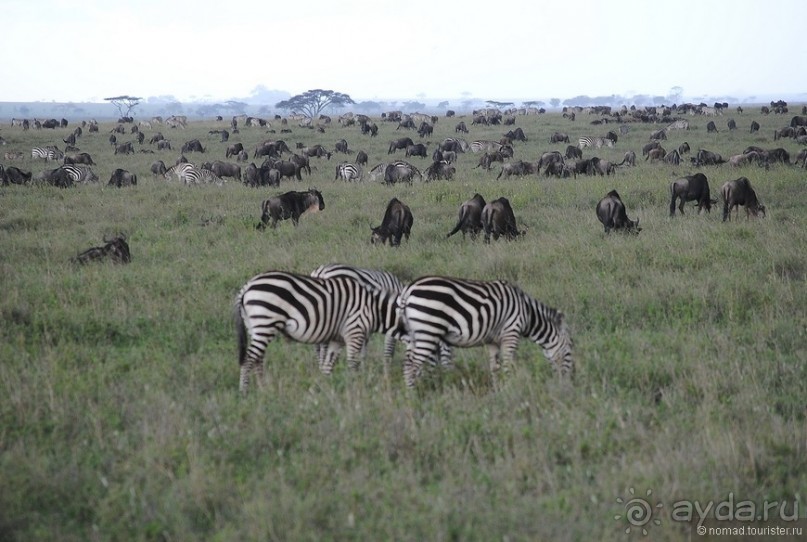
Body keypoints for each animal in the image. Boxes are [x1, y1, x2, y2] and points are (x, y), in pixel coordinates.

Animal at [234, 272, 400, 396]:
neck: (374, 309)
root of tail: (247, 286)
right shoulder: (355, 330)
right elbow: (353, 363)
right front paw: (356, 388)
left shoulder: (340, 338)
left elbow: (330, 364)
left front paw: (324, 389)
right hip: (265, 322)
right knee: (249, 359)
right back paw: (244, 392)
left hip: (255, 326)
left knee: (258, 358)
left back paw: (264, 390)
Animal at [396, 278, 576, 388]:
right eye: (569, 350)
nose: (568, 383)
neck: (527, 313)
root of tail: (408, 289)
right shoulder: (511, 332)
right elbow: (507, 364)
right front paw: (511, 387)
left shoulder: (493, 341)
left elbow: (494, 368)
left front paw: (499, 391)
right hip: (428, 331)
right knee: (412, 366)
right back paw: (414, 397)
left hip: (415, 335)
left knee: (406, 365)